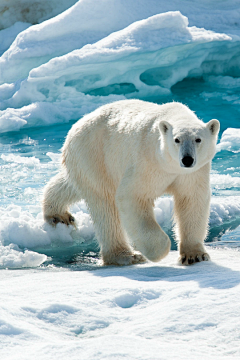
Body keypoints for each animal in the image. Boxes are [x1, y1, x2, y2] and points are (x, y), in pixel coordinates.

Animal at [42, 100, 219, 266]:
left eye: (198, 139)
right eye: (177, 140)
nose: (187, 159)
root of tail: (76, 125)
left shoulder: (193, 172)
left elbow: (191, 200)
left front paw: (194, 255)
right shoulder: (147, 163)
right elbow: (132, 196)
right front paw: (159, 251)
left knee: (71, 184)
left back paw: (59, 215)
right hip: (95, 155)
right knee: (105, 205)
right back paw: (127, 256)